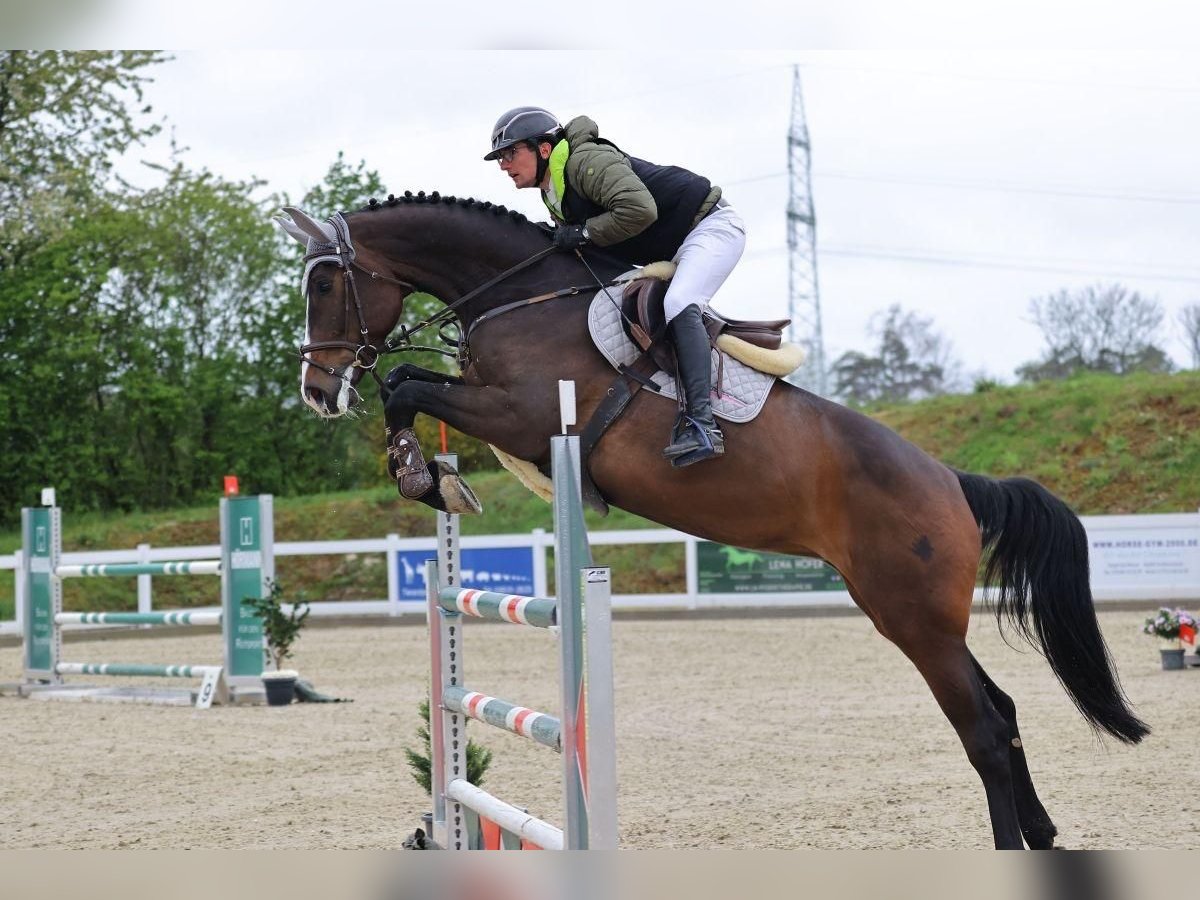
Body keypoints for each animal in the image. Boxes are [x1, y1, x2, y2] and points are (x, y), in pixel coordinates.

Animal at [276, 192, 1147, 854]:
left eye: (325, 289)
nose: (317, 393)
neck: (520, 299)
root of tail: (953, 483)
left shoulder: (524, 417)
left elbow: (405, 387)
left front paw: (421, 473)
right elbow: (410, 380)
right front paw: (430, 476)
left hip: (914, 618)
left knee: (983, 730)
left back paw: (1011, 845)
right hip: (916, 616)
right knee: (1002, 711)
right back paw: (1045, 835)